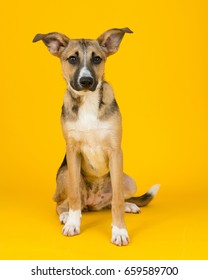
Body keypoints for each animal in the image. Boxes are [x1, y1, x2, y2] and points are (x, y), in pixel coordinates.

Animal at [32, 27, 160, 245]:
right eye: (72, 58)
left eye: (97, 59)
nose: (86, 81)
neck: (88, 102)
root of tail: (93, 203)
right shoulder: (72, 151)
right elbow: (74, 196)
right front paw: (72, 223)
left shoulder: (115, 151)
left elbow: (117, 200)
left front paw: (119, 230)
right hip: (64, 173)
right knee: (61, 203)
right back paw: (66, 214)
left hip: (129, 180)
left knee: (112, 201)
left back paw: (129, 205)